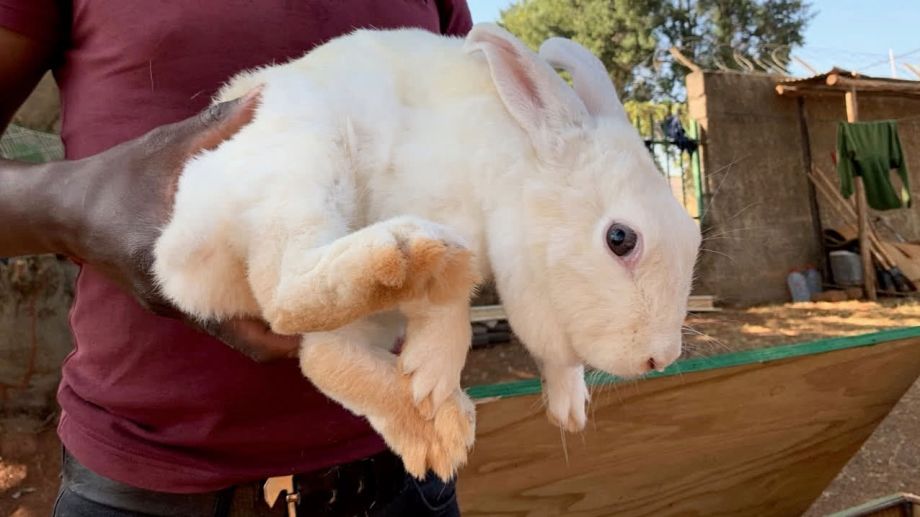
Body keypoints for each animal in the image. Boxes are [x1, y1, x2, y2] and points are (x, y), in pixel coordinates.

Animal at [152, 22, 702, 482]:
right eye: (620, 238)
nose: (660, 358)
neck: (511, 166)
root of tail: (175, 240)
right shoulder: (440, 208)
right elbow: (447, 304)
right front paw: (433, 373)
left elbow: (553, 355)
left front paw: (569, 410)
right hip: (302, 167)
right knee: (285, 292)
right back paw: (404, 253)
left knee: (321, 356)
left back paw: (437, 434)